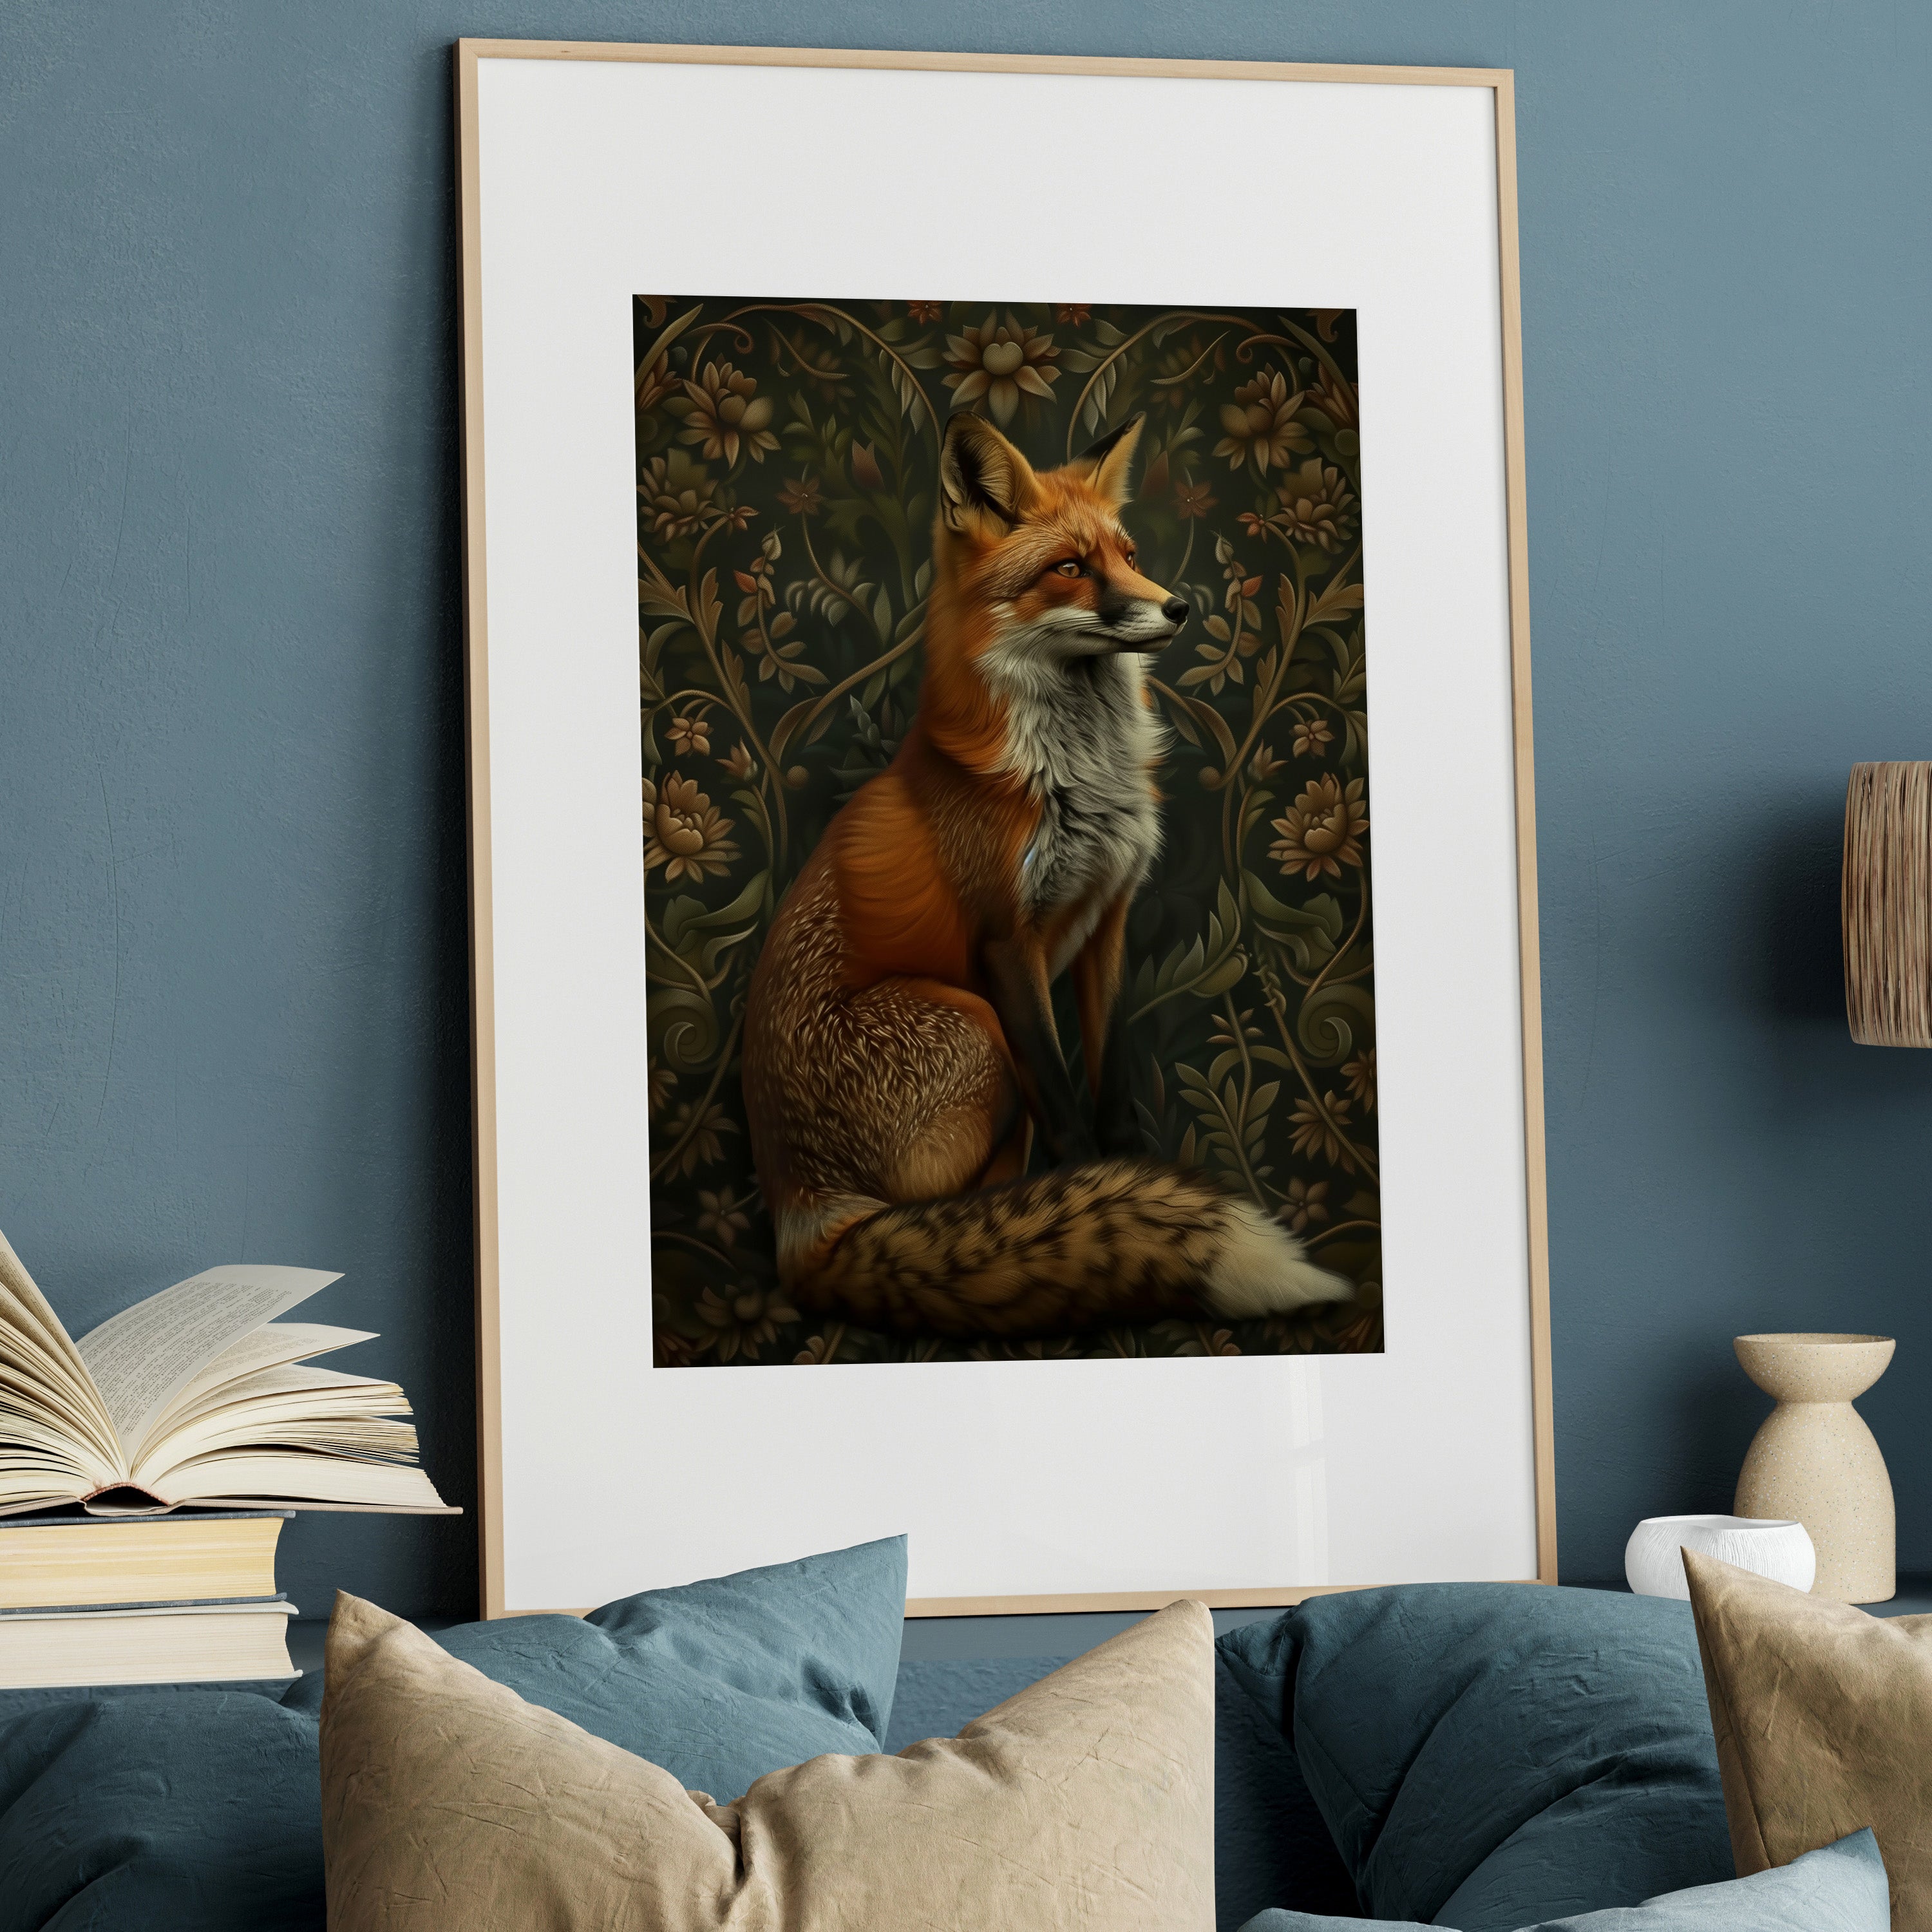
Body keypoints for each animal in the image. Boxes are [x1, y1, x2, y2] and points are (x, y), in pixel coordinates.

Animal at [741, 410, 1352, 1339]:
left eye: (1130, 552)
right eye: (1070, 567)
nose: (1179, 606)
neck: (1076, 778)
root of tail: (798, 1211)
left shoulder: (1109, 918)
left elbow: (1108, 1074)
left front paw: (1129, 1172)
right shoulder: (1006, 943)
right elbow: (1065, 1103)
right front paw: (1096, 1189)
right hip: (973, 1021)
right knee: (959, 1199)